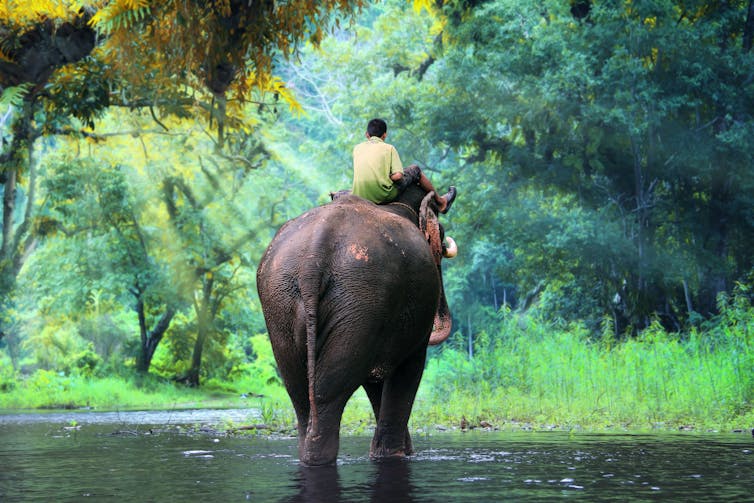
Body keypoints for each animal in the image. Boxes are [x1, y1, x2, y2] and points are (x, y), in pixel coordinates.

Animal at [256, 185, 456, 468]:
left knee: (300, 393)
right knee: (330, 394)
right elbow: (408, 369)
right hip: (362, 299)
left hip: (283, 303)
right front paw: (395, 456)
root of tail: (313, 256)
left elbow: (375, 382)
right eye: (442, 233)